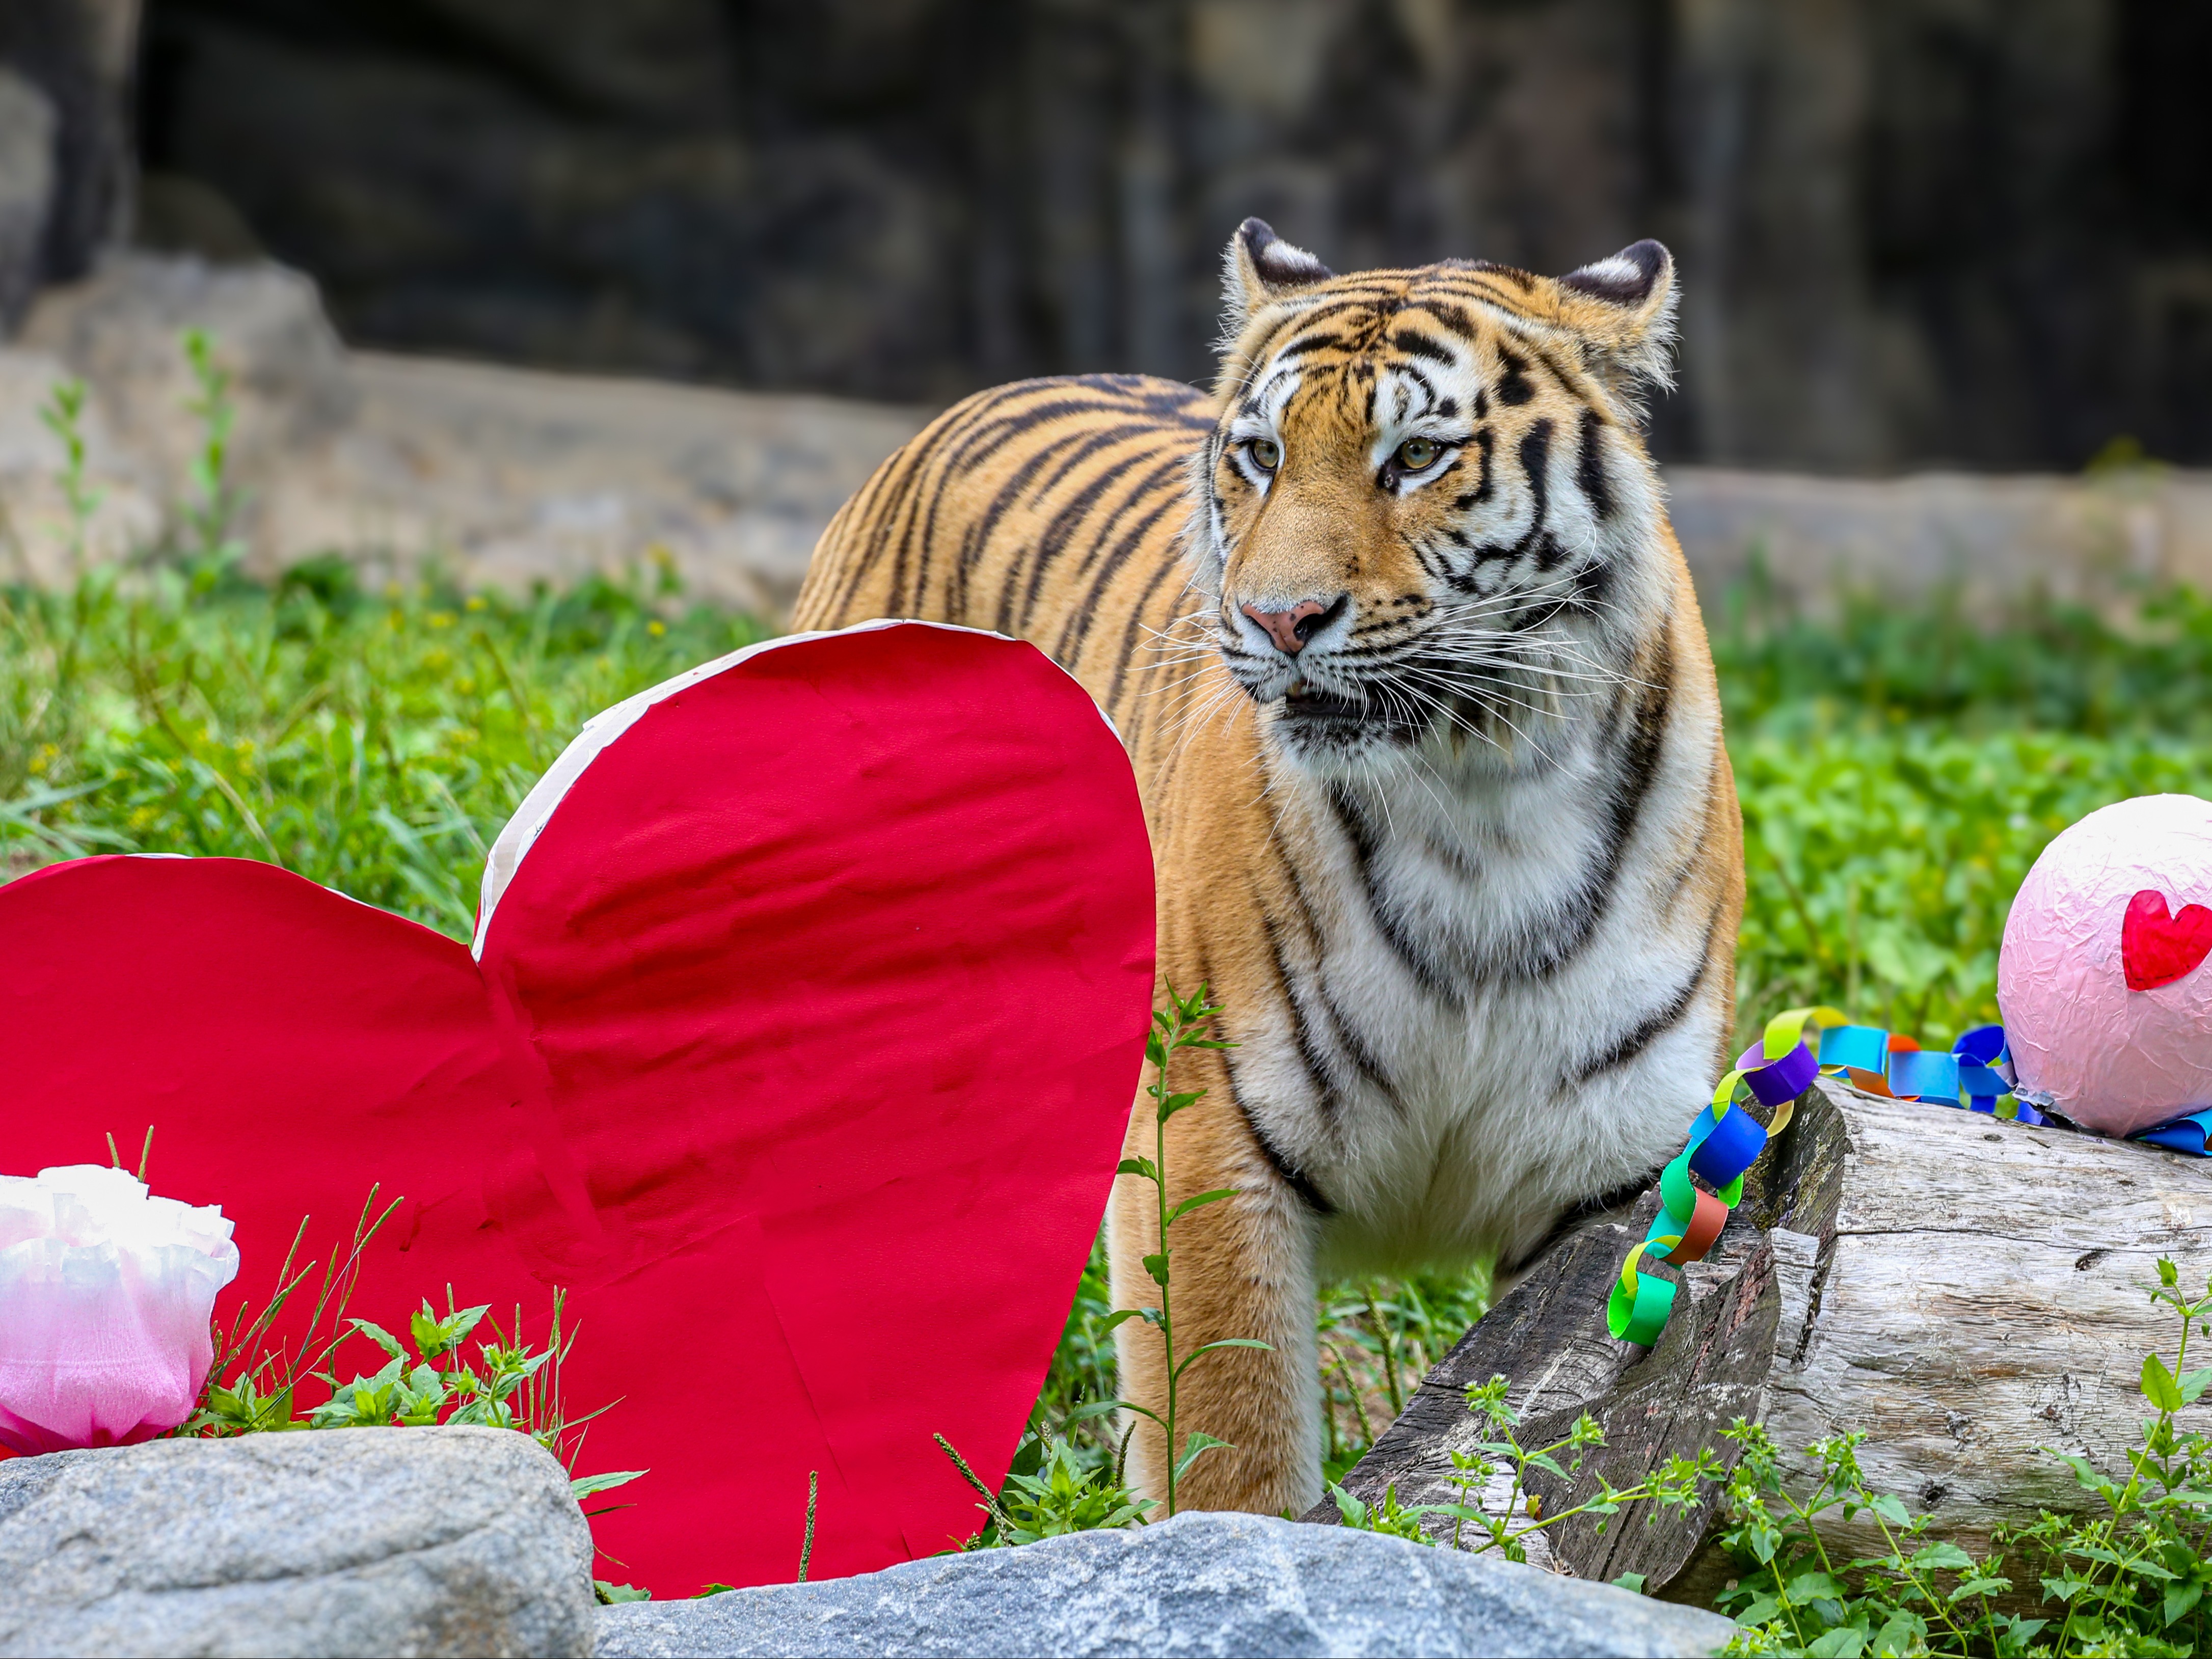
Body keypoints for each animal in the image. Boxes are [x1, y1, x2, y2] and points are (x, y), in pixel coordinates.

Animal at [792, 219, 1745, 1519]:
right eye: (1259, 456)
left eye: (1415, 457)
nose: (1278, 619)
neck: (1480, 794)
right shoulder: (1206, 1132)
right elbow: (1229, 1447)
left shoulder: (1614, 1167)